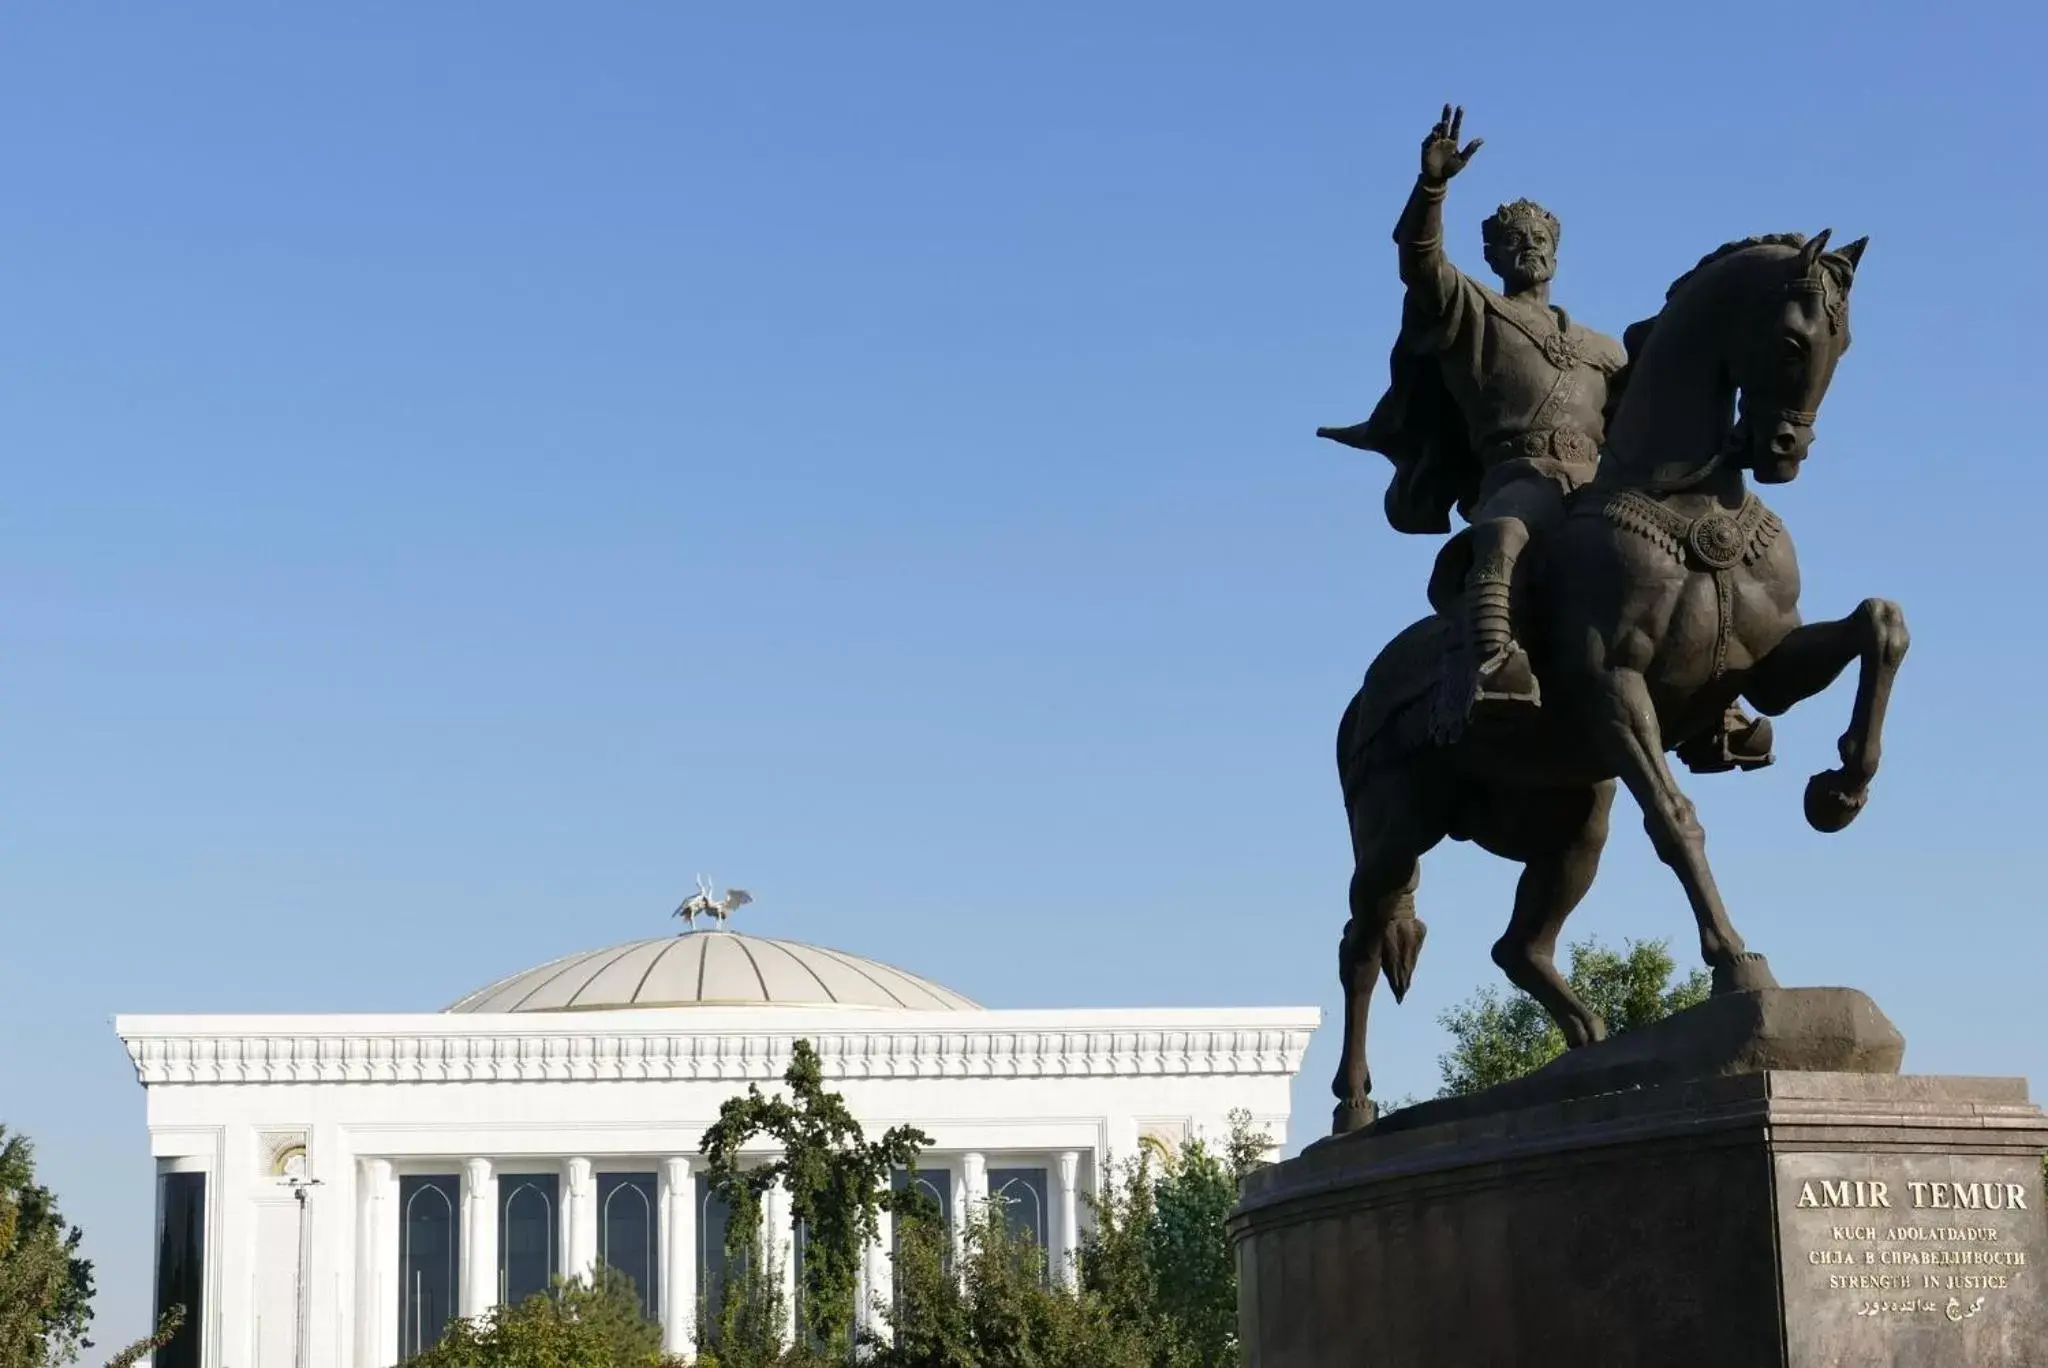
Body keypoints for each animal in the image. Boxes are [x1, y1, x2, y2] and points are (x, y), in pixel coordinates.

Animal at [1327, 232, 1900, 1130]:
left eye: (1842, 344)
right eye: (1791, 340)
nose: (1785, 452)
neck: (1692, 499)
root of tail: (1361, 699)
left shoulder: (1763, 668)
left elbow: (1880, 624)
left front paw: (1840, 790)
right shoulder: (1615, 690)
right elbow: (1675, 821)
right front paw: (1737, 964)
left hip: (1572, 821)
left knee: (1518, 944)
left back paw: (1591, 1047)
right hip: (1395, 827)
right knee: (1359, 944)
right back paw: (1354, 1108)